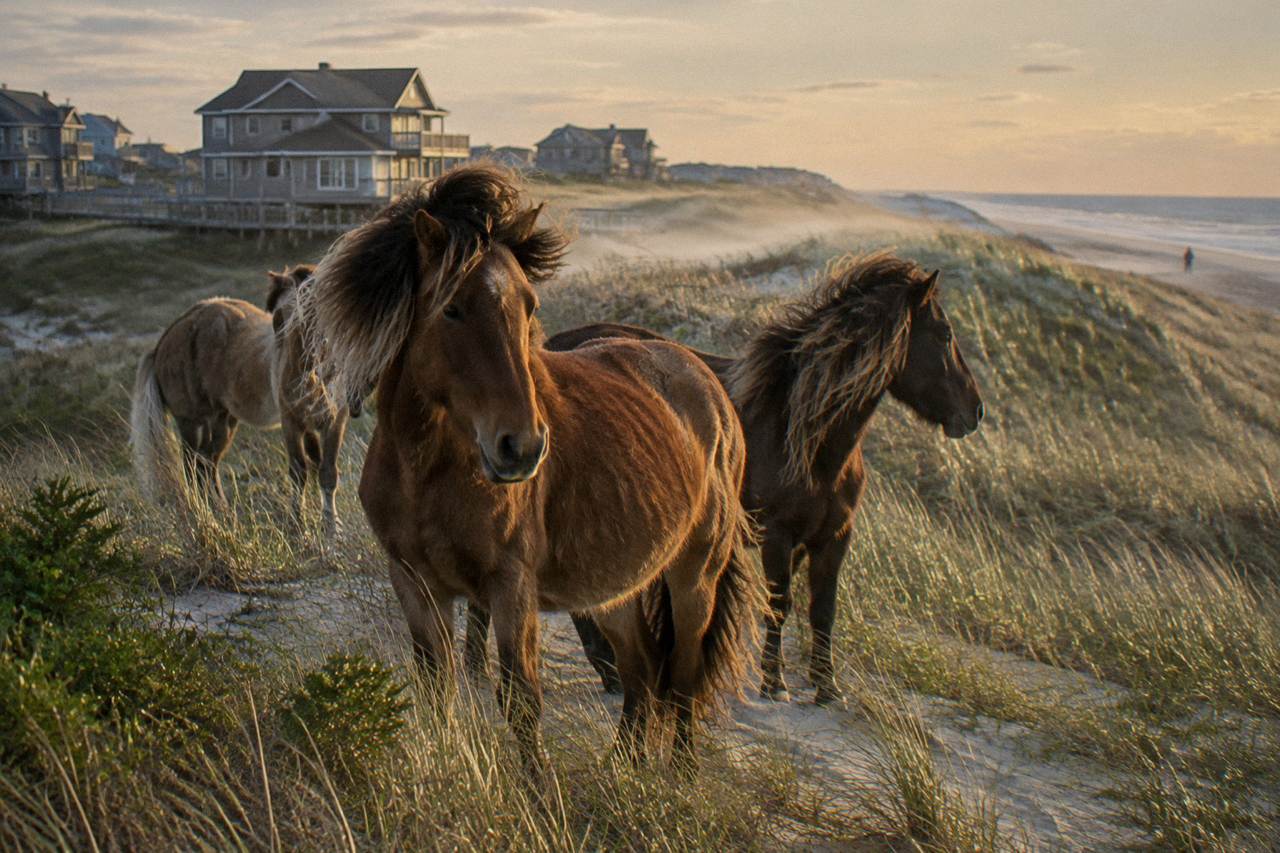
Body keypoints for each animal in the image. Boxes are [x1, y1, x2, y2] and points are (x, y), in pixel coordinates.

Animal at [129, 264, 352, 538]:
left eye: (313, 310)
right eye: (278, 318)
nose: (300, 371)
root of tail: (166, 339)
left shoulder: (332, 422)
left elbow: (325, 471)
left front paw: (332, 527)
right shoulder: (291, 423)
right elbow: (299, 472)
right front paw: (299, 525)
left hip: (221, 420)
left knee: (207, 462)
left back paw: (221, 512)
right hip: (190, 422)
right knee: (192, 466)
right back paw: (201, 515)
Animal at [291, 164, 762, 779]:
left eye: (530, 305)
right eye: (451, 308)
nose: (522, 447)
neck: (428, 471)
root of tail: (707, 385)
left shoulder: (510, 585)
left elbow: (520, 701)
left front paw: (539, 794)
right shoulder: (414, 581)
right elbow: (436, 688)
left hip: (693, 577)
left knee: (681, 678)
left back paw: (678, 778)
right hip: (616, 588)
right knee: (641, 673)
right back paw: (621, 773)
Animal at [468, 252, 984, 705]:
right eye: (945, 333)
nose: (974, 412)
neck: (804, 436)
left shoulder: (834, 537)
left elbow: (824, 611)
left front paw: (827, 687)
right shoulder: (778, 536)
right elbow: (780, 604)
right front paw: (775, 684)